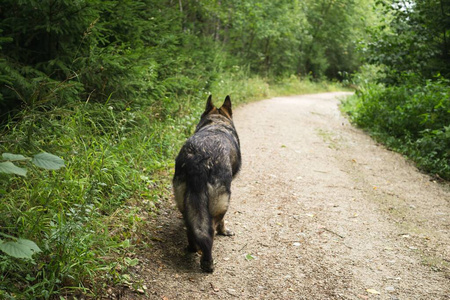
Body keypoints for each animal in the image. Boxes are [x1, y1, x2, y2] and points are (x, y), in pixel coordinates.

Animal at [173, 95, 243, 274]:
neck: (216, 122)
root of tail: (200, 158)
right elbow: (223, 223)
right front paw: (224, 232)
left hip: (185, 203)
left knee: (191, 227)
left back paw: (192, 248)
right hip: (221, 205)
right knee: (210, 231)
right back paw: (207, 262)